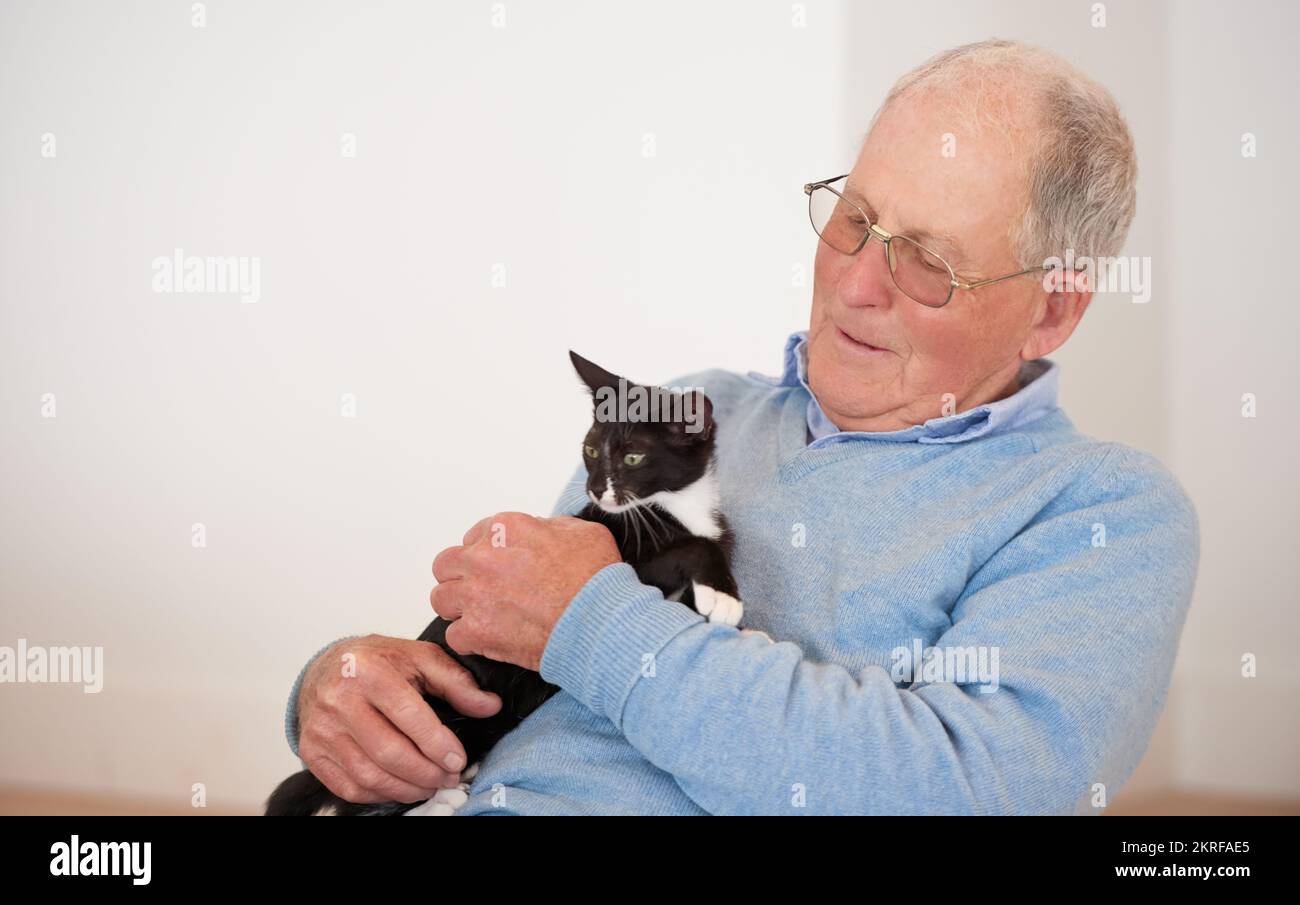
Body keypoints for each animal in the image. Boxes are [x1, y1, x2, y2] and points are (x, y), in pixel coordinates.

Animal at [266, 351, 743, 816]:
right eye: (590, 448)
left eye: (633, 457)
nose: (594, 489)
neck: (674, 505)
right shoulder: (625, 550)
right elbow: (694, 547)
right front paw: (726, 598)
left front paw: (716, 601)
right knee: (361, 806)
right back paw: (441, 799)